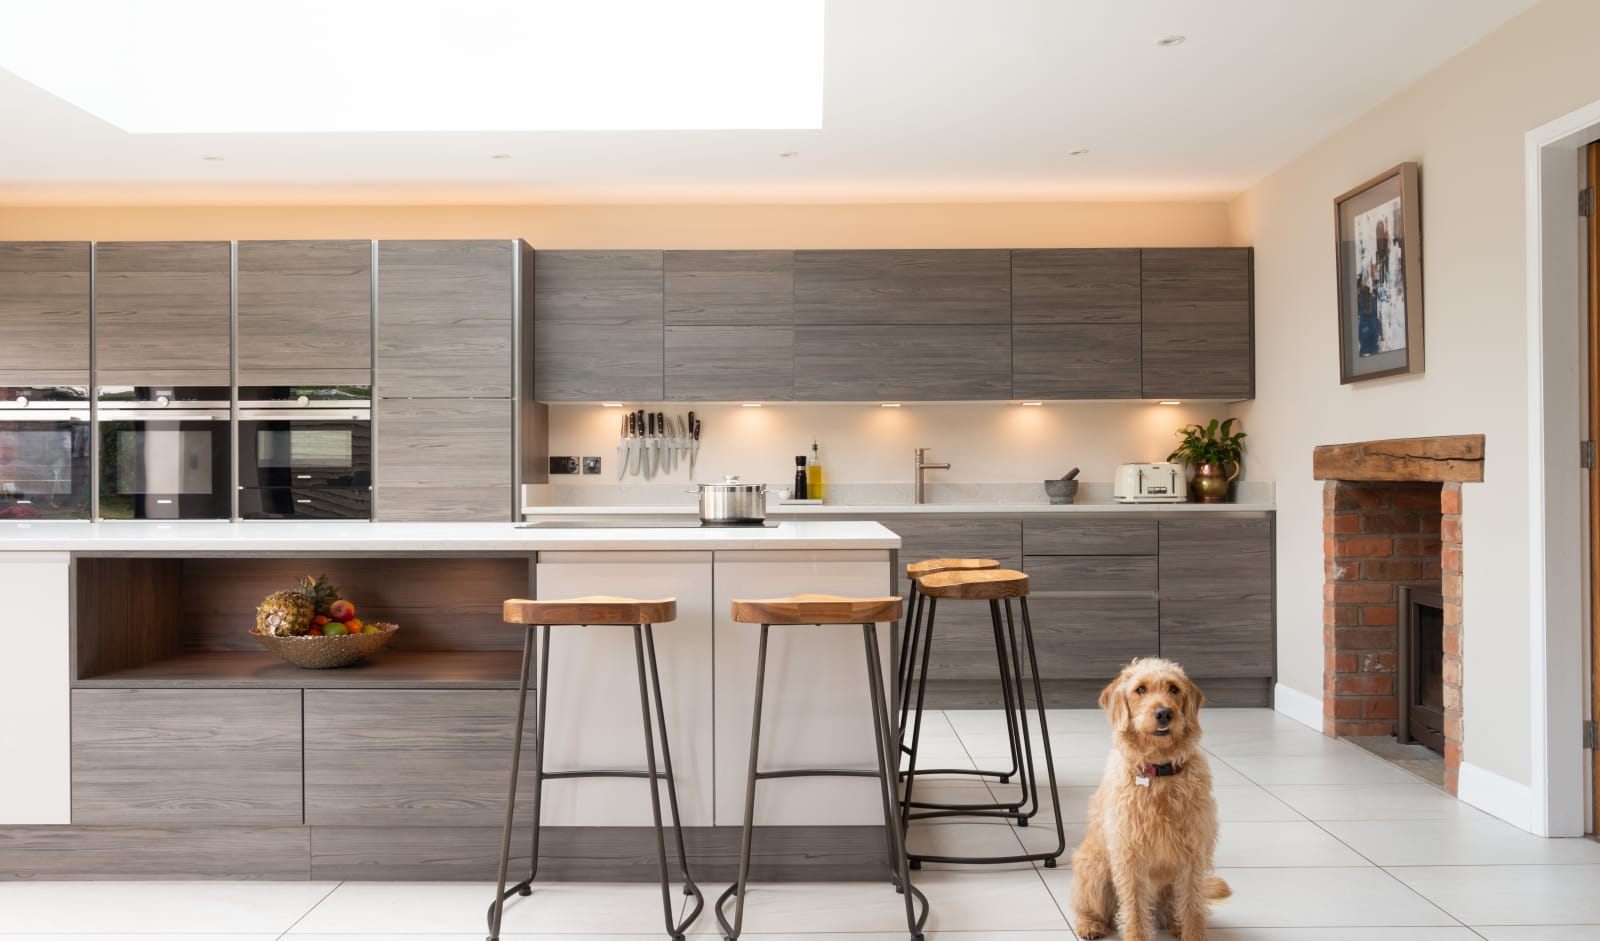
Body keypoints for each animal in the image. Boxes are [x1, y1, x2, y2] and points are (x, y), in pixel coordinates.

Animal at [1068, 659, 1228, 941]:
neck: (1160, 771)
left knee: (1177, 907)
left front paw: (1193, 933)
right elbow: (1134, 909)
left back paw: (1176, 924)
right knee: (1089, 907)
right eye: (1140, 689)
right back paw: (1090, 925)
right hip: (1093, 869)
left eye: (1173, 688)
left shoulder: (1193, 855)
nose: (1164, 713)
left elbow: (1193, 905)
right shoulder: (1130, 856)